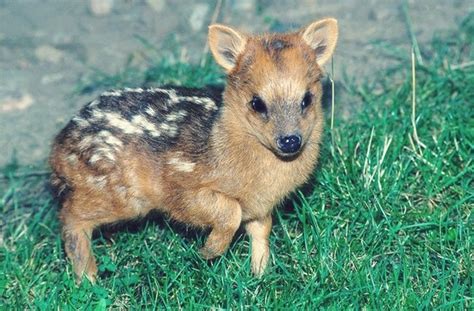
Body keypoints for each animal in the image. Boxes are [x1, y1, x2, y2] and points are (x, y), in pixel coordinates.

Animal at [50, 18, 338, 284]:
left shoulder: (259, 206)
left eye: (307, 99)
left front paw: (259, 274)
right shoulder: (181, 190)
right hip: (118, 193)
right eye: (257, 103)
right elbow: (230, 211)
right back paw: (87, 277)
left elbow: (262, 229)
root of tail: (57, 152)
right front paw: (209, 251)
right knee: (70, 216)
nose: (290, 141)